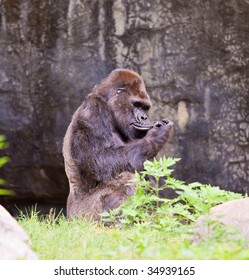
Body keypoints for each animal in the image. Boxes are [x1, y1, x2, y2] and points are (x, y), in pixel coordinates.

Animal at [62, 68, 173, 221]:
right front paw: (157, 135)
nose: (144, 117)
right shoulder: (91, 111)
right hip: (81, 217)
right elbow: (102, 162)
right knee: (125, 177)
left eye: (145, 108)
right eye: (136, 105)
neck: (109, 109)